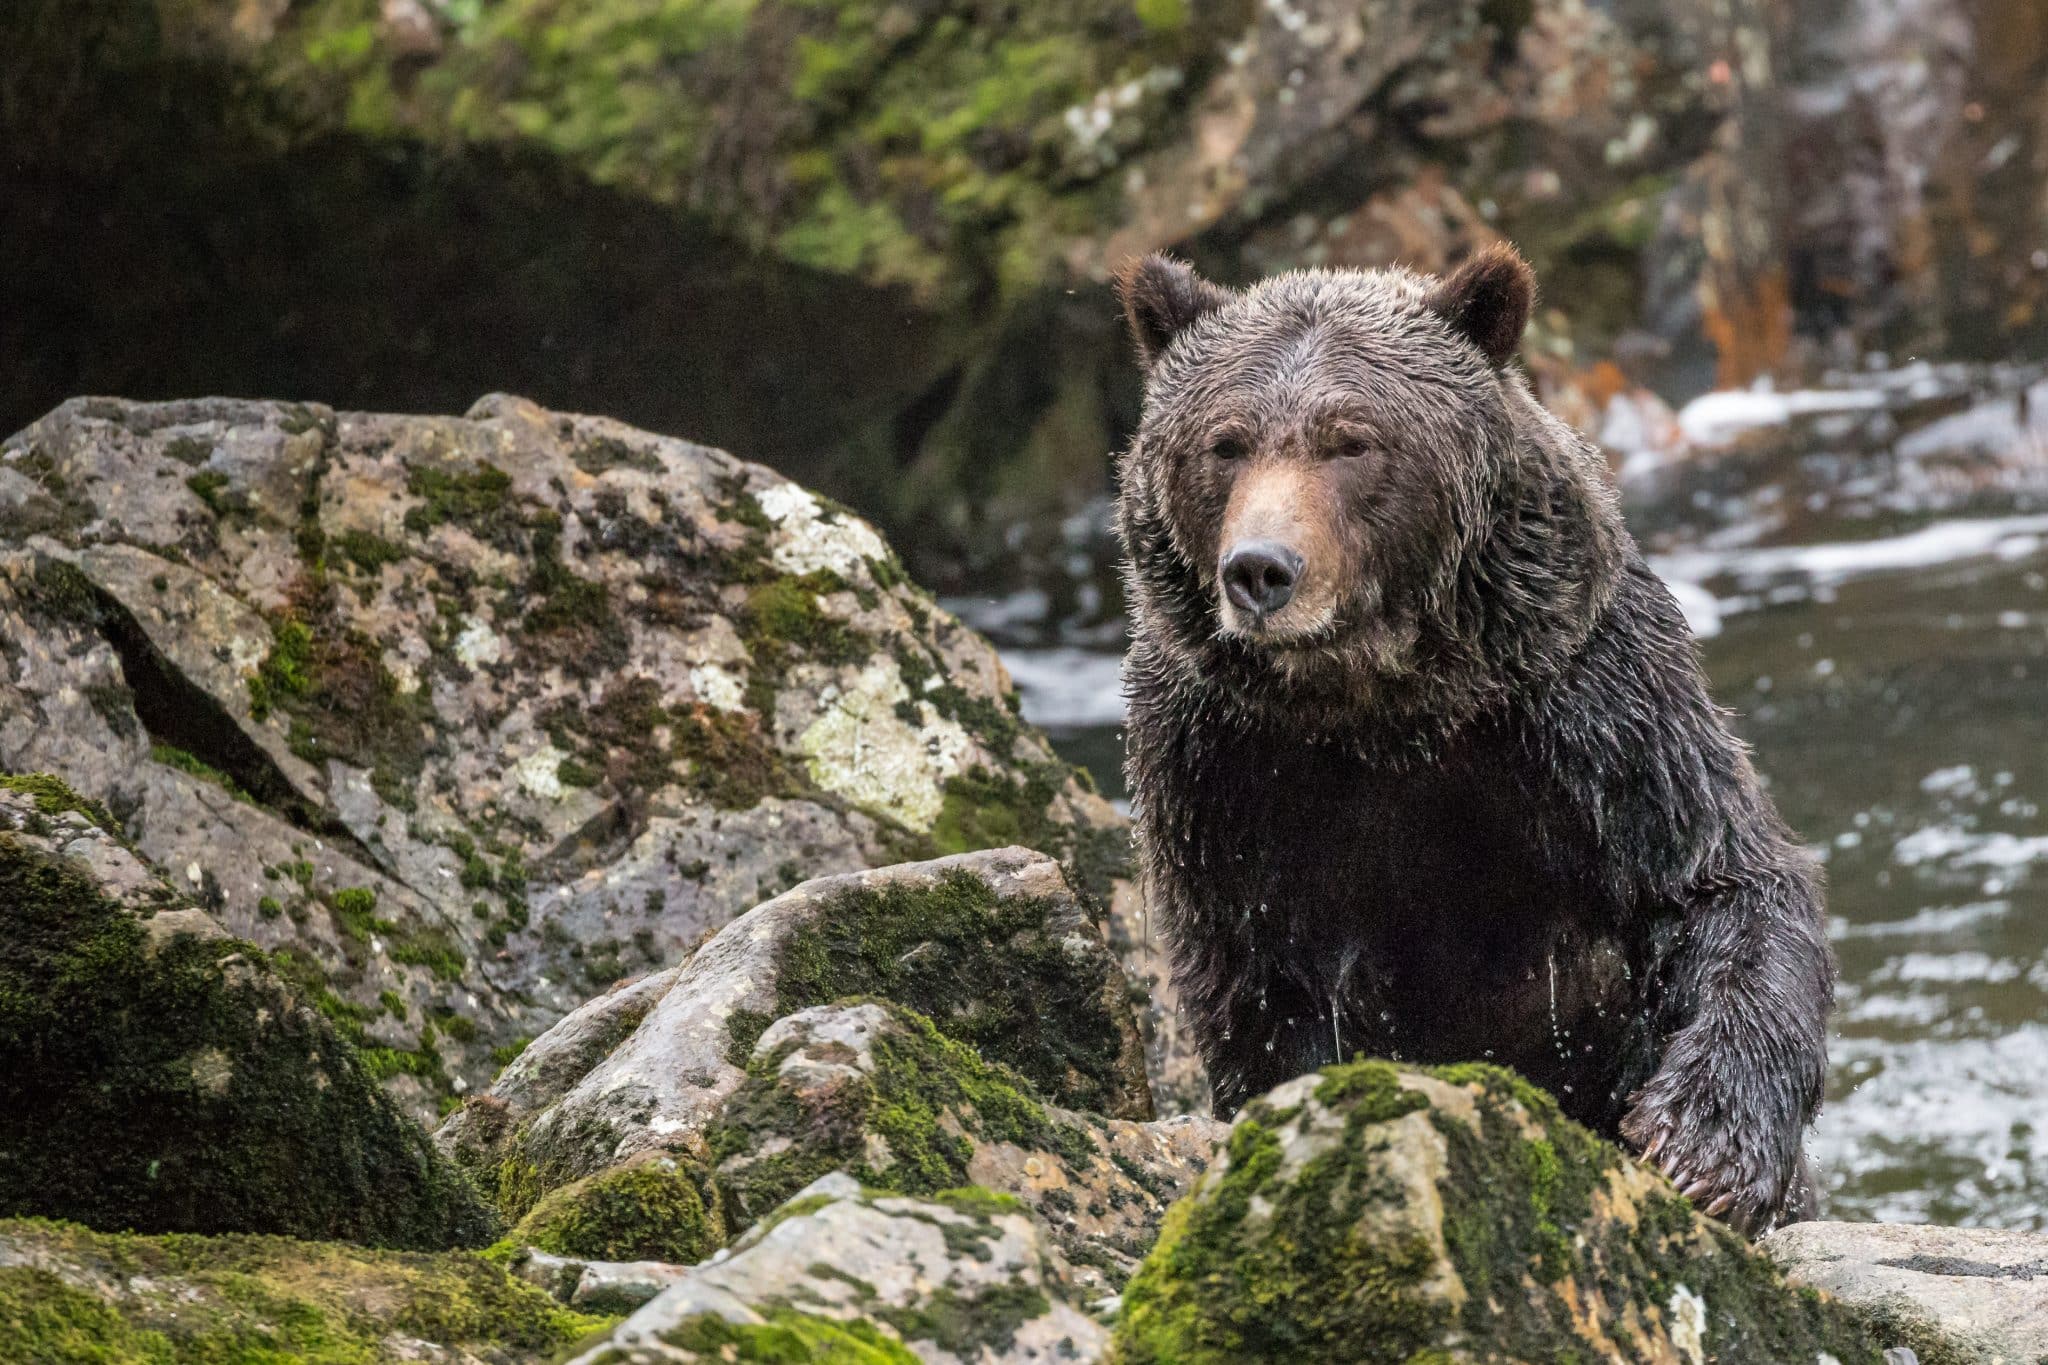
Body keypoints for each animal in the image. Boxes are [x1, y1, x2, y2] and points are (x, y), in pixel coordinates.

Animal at [1111, 243, 1833, 1234]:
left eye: (1352, 439)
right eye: (1225, 443)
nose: (1260, 568)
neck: (1383, 711)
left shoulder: (1593, 712)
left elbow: (1719, 882)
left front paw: (1703, 1143)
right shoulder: (1218, 771)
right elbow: (1255, 980)